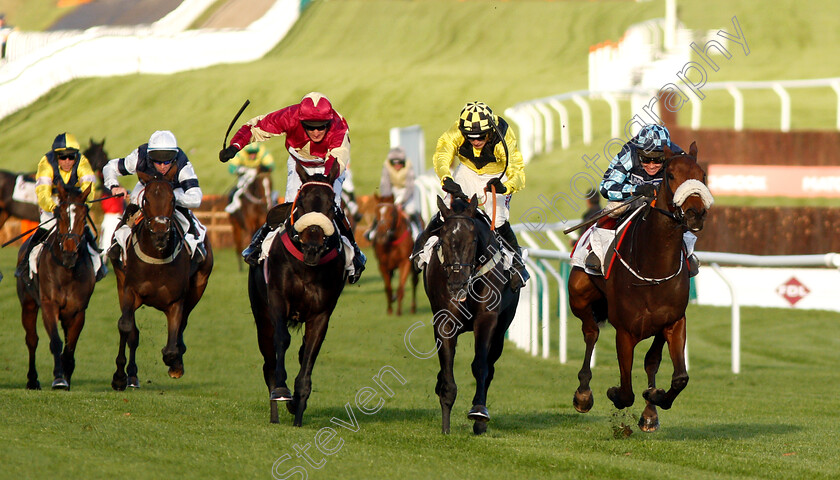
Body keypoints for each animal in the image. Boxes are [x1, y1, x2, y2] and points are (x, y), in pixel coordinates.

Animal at [17, 184, 96, 390]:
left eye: (83, 216)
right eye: (60, 215)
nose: (69, 254)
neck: (67, 271)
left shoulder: (78, 311)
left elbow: (70, 348)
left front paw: (66, 378)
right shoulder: (49, 305)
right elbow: (56, 342)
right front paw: (59, 378)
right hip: (28, 304)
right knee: (32, 340)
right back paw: (32, 380)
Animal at [110, 167, 215, 388]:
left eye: (173, 199)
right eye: (146, 199)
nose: (160, 234)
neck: (156, 258)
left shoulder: (176, 301)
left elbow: (172, 347)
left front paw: (175, 363)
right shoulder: (130, 290)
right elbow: (126, 326)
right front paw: (119, 376)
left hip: (200, 284)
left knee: (183, 323)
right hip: (120, 281)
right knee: (132, 332)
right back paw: (131, 375)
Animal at [248, 162, 346, 428]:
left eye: (331, 205)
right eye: (301, 202)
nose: (313, 247)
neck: (306, 266)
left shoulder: (321, 314)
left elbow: (309, 353)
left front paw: (298, 407)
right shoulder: (277, 301)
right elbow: (282, 340)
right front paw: (282, 391)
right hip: (261, 316)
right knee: (268, 362)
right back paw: (274, 413)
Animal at [424, 193, 520, 434]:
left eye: (473, 241)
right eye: (443, 240)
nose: (457, 283)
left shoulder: (487, 319)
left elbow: (480, 365)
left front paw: (478, 411)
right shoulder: (445, 321)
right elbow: (447, 369)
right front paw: (446, 424)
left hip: (502, 329)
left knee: (490, 366)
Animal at [568, 142, 712, 432]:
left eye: (702, 176)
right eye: (671, 175)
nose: (695, 213)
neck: (653, 268)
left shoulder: (673, 322)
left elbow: (677, 376)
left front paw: (654, 401)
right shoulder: (625, 331)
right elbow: (625, 392)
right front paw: (614, 393)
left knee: (650, 361)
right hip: (578, 296)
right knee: (590, 332)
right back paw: (583, 394)